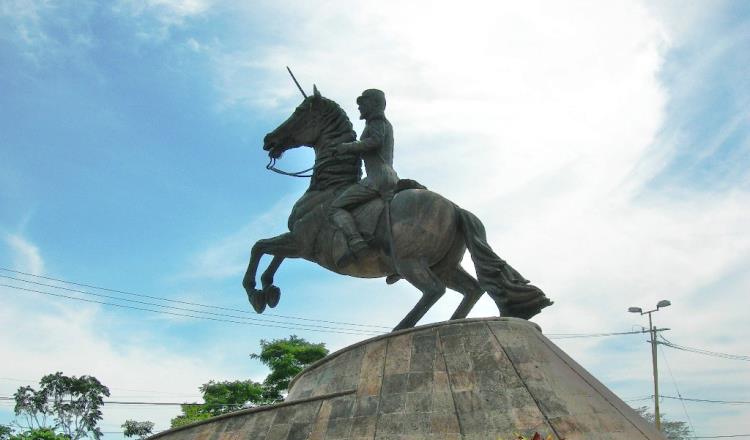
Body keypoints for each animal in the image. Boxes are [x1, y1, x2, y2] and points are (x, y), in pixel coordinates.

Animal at [244, 87, 556, 330]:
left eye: (299, 112)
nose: (269, 140)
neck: (327, 188)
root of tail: (455, 208)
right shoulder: (298, 242)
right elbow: (271, 254)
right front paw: (269, 290)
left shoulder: (302, 243)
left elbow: (260, 247)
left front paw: (256, 293)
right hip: (445, 265)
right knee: (473, 288)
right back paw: (453, 322)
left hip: (410, 262)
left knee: (434, 290)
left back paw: (402, 328)